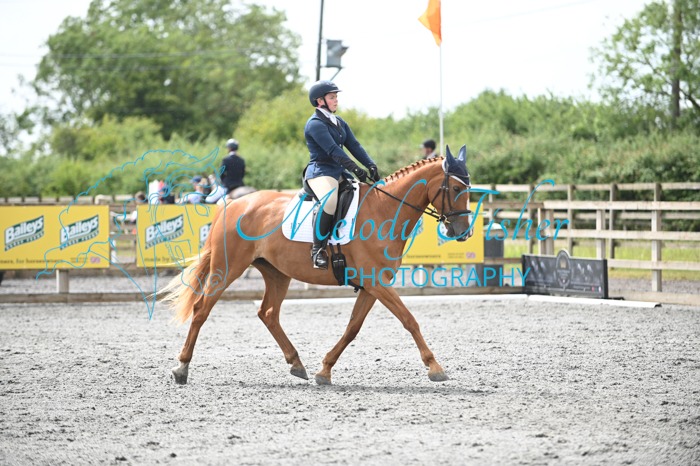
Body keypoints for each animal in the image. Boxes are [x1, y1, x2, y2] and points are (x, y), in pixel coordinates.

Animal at [161, 145, 473, 385]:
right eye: (457, 187)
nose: (463, 233)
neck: (384, 210)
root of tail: (232, 205)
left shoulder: (372, 285)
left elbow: (352, 328)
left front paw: (324, 370)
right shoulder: (376, 282)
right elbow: (409, 320)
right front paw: (435, 367)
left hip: (276, 273)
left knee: (268, 313)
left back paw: (296, 364)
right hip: (227, 268)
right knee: (202, 310)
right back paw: (181, 368)